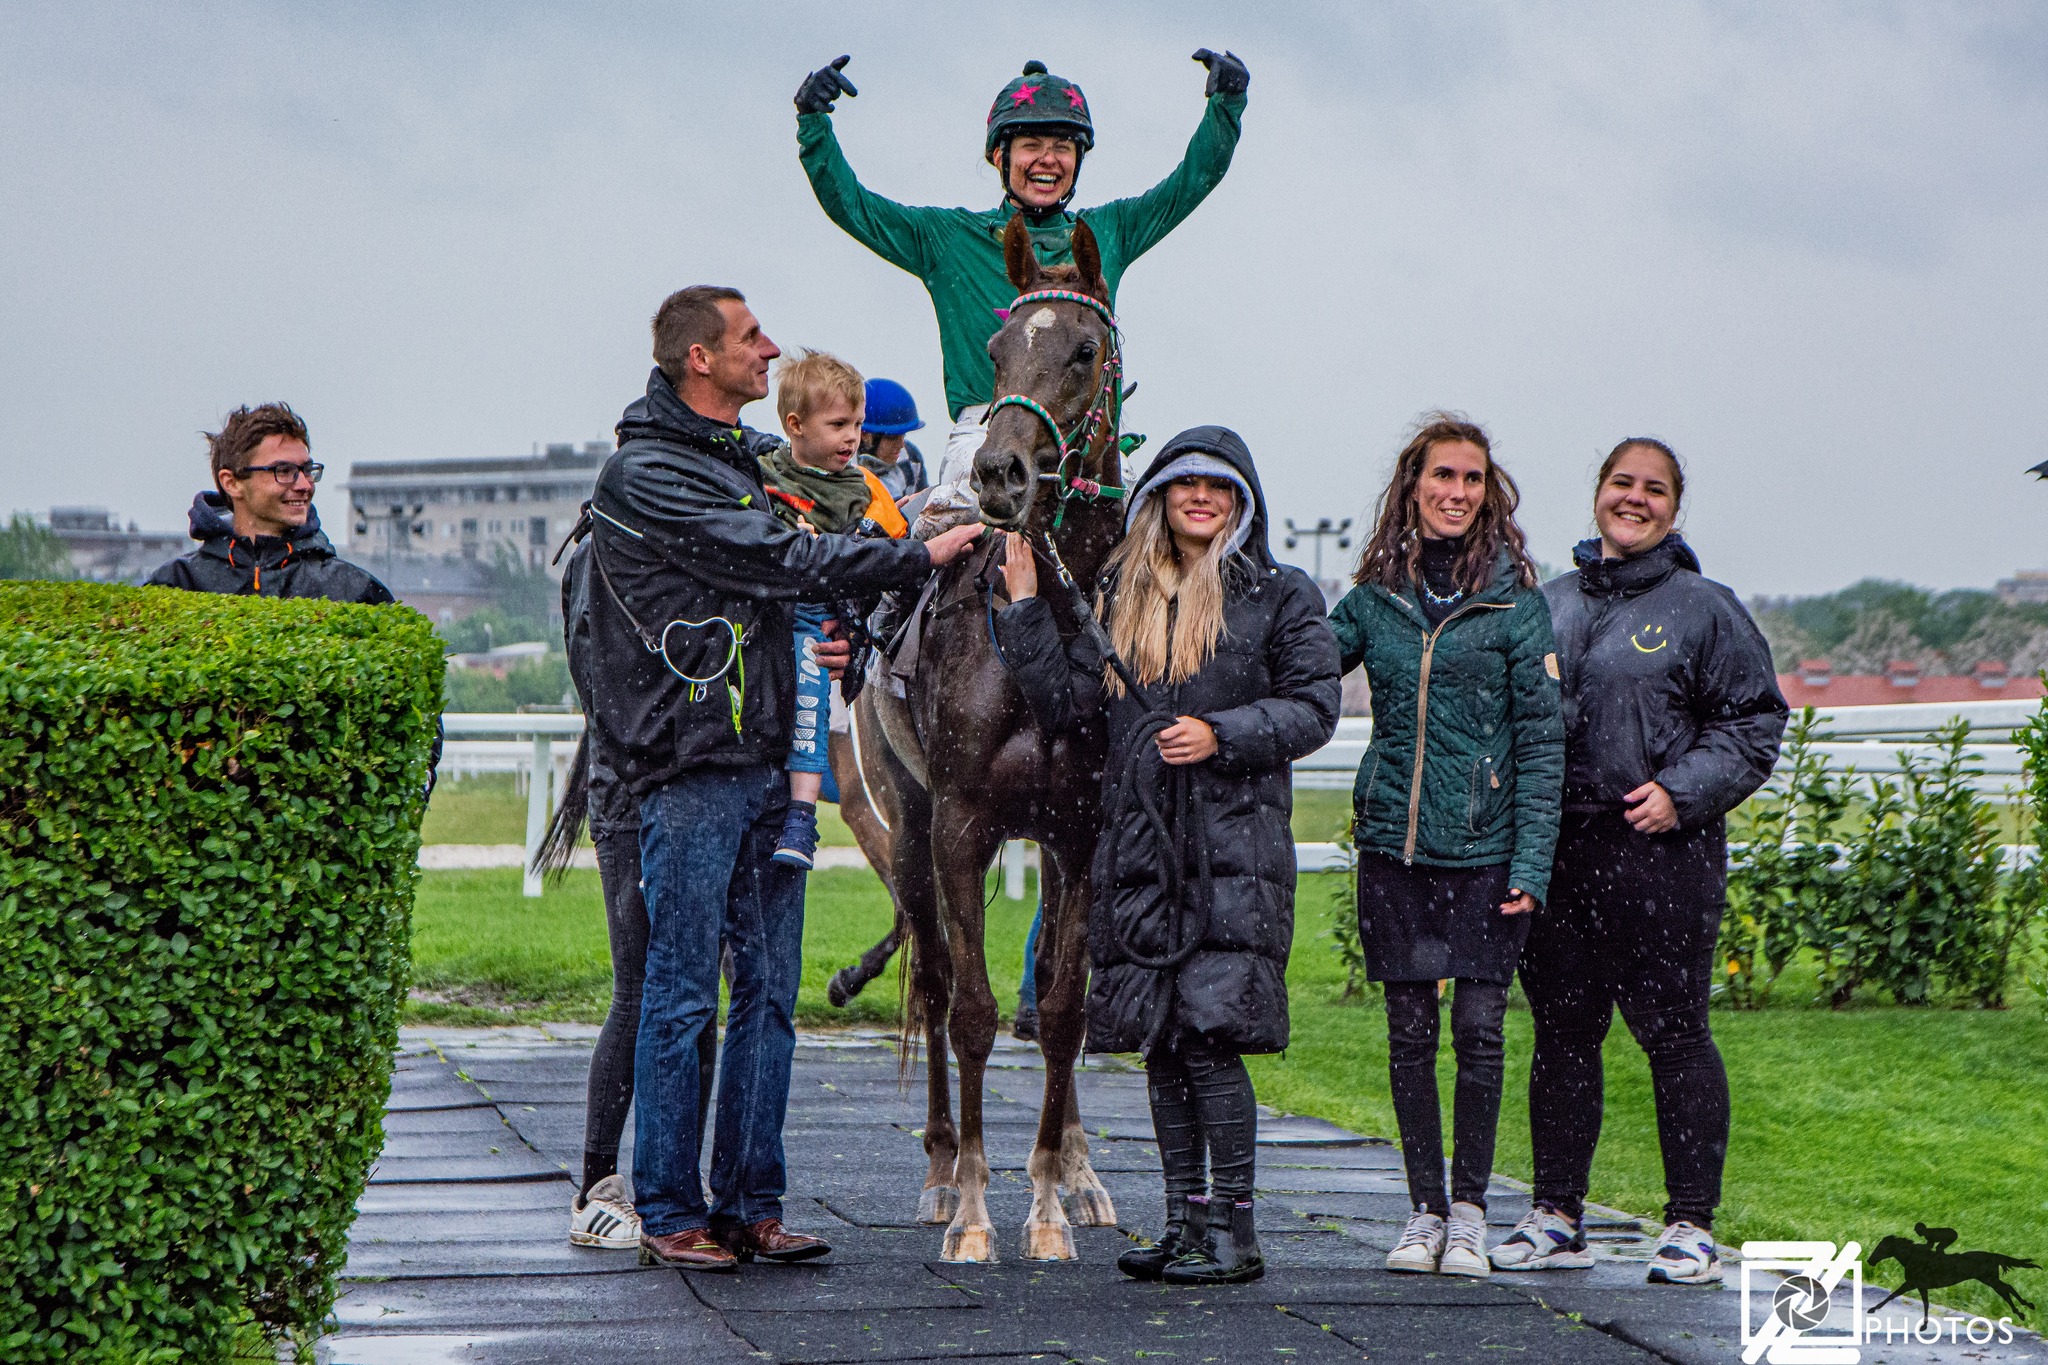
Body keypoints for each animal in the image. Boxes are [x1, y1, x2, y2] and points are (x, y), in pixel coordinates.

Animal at [851, 215, 1130, 1260]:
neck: (1039, 627)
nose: (1001, 474)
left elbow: (1062, 1006)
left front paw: (1048, 1200)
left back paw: (1083, 1173)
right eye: (1001, 347)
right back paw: (938, 1172)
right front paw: (974, 1209)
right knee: (931, 979)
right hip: (903, 817)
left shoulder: (1082, 831)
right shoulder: (961, 823)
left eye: (1085, 351)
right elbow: (967, 1009)